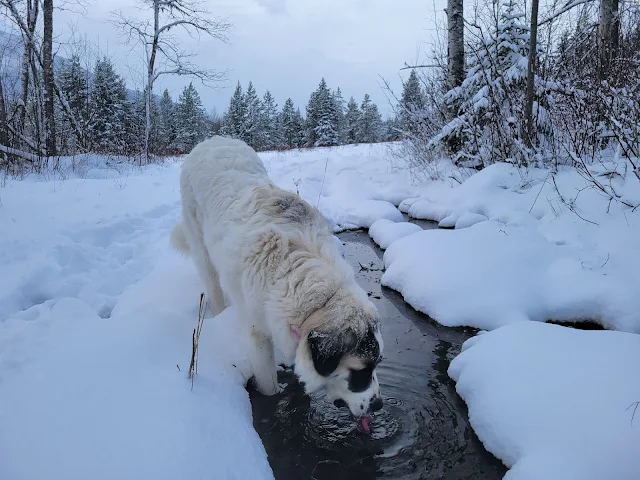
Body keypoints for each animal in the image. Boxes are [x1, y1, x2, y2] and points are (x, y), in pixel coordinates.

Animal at [170, 136, 384, 432]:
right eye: (360, 372)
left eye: (377, 364)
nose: (379, 405)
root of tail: (212, 139)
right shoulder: (258, 333)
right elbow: (269, 384)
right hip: (201, 245)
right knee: (211, 280)